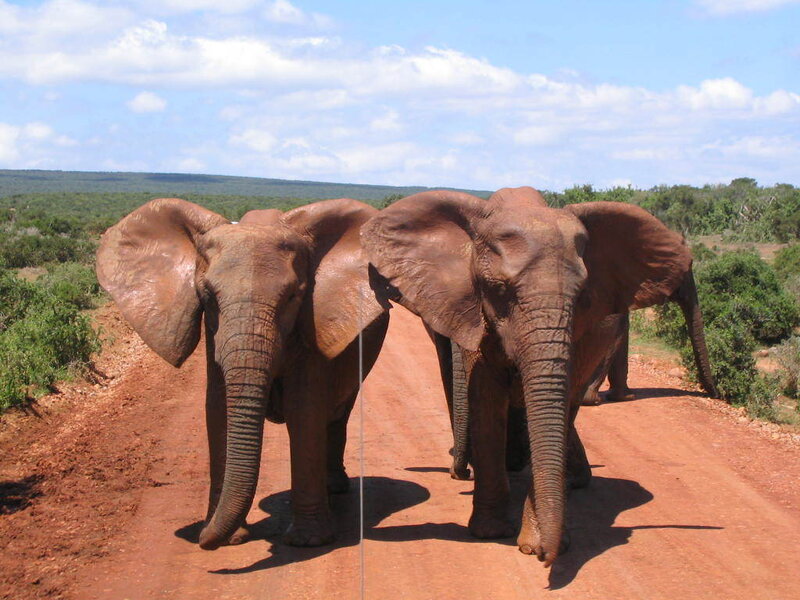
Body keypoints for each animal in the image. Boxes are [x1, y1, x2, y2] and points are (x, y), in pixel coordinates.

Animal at [96, 197, 389, 550]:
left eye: (293, 296)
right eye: (207, 295)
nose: (201, 540)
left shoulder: (313, 319)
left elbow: (305, 411)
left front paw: (308, 542)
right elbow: (218, 409)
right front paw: (232, 538)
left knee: (337, 412)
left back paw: (335, 490)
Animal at [360, 186, 710, 566]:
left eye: (583, 295)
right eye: (498, 289)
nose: (549, 557)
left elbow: (559, 400)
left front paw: (534, 543)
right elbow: (486, 398)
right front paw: (490, 532)